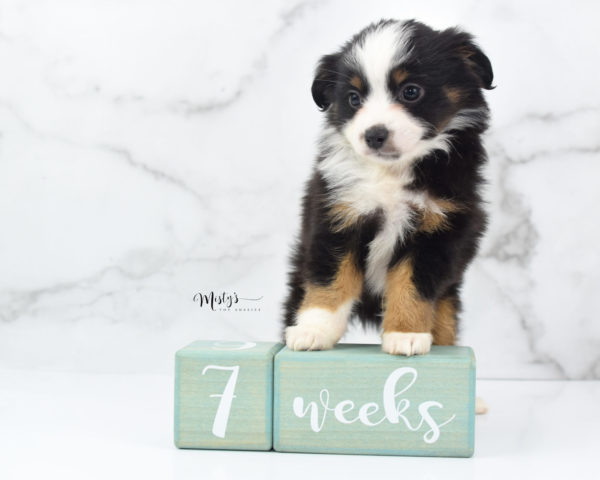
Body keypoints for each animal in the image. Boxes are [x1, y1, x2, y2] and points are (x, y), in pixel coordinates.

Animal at [282, 18, 492, 354]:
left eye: (411, 92)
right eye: (354, 99)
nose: (374, 135)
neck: (391, 172)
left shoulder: (438, 229)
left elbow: (412, 285)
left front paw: (406, 334)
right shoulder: (338, 214)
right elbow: (330, 279)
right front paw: (314, 330)